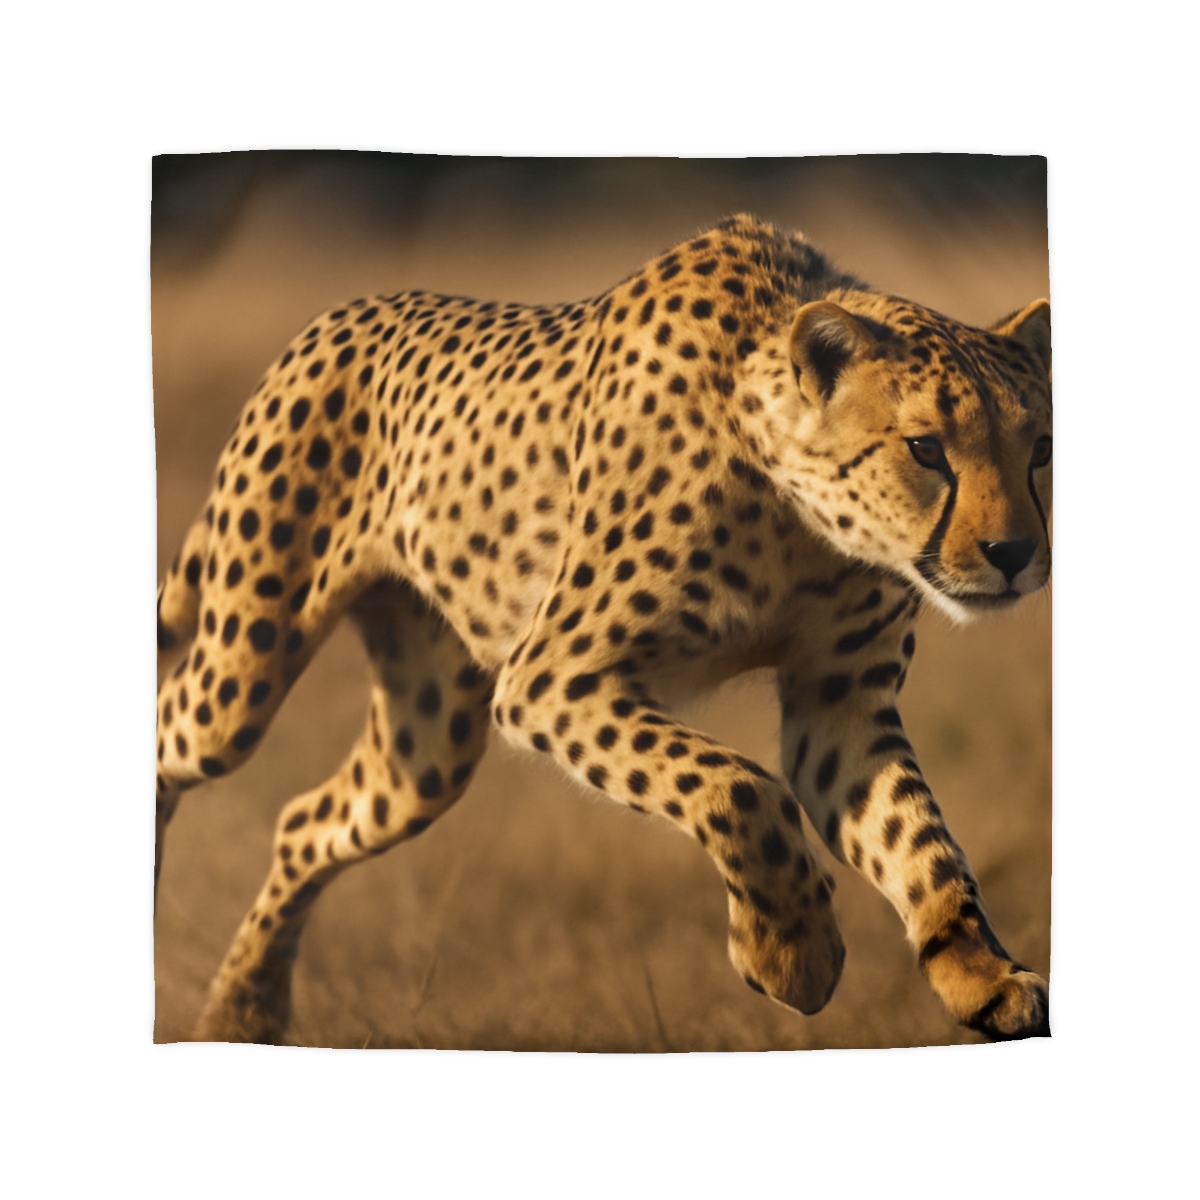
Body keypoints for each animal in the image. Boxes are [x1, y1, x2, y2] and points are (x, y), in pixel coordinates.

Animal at [155, 213, 1052, 1045]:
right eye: (925, 448)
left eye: (1040, 448)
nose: (1015, 554)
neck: (798, 515)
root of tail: (339, 316)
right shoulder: (552, 677)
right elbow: (738, 787)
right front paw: (791, 954)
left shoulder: (838, 707)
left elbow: (921, 842)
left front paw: (981, 976)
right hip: (246, 664)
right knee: (174, 735)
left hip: (428, 746)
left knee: (307, 821)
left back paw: (244, 1010)